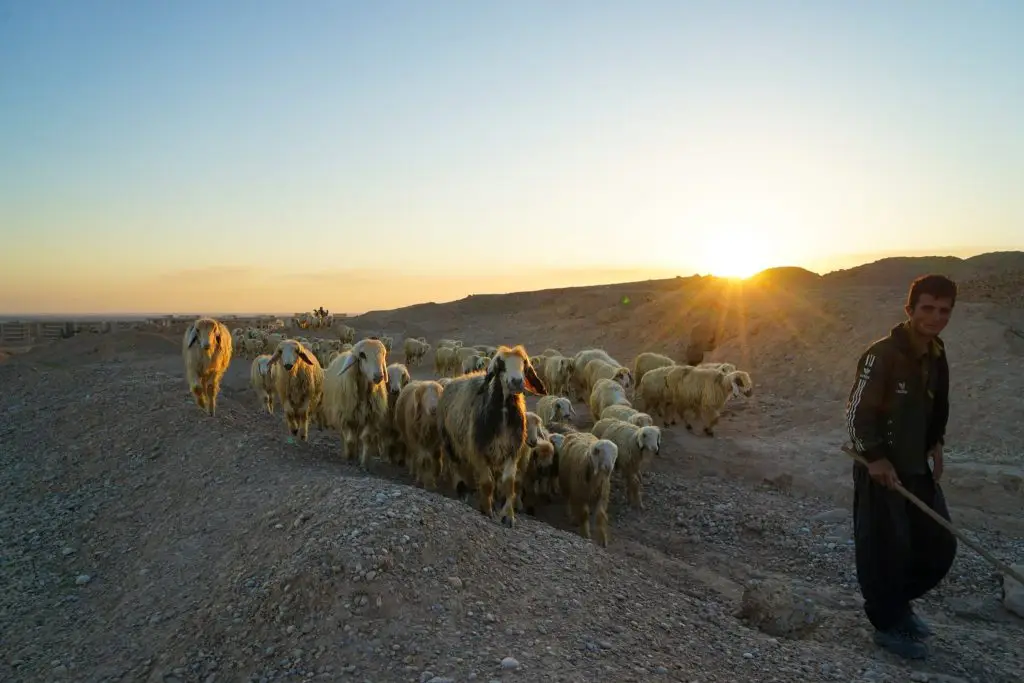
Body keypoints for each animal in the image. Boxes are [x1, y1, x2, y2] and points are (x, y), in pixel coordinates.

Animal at [321, 337, 389, 466]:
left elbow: (366, 438)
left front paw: (364, 463)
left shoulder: (371, 417)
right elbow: (349, 439)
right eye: (362, 355)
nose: (379, 376)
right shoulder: (345, 416)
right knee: (346, 436)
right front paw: (349, 456)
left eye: (383, 354)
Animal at [434, 344, 548, 528]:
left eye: (524, 363)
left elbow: (508, 483)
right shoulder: (479, 450)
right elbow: (487, 482)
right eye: (500, 365)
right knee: (455, 465)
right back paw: (462, 490)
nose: (517, 382)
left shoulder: (511, 452)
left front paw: (508, 516)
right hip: (449, 440)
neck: (503, 413)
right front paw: (487, 509)